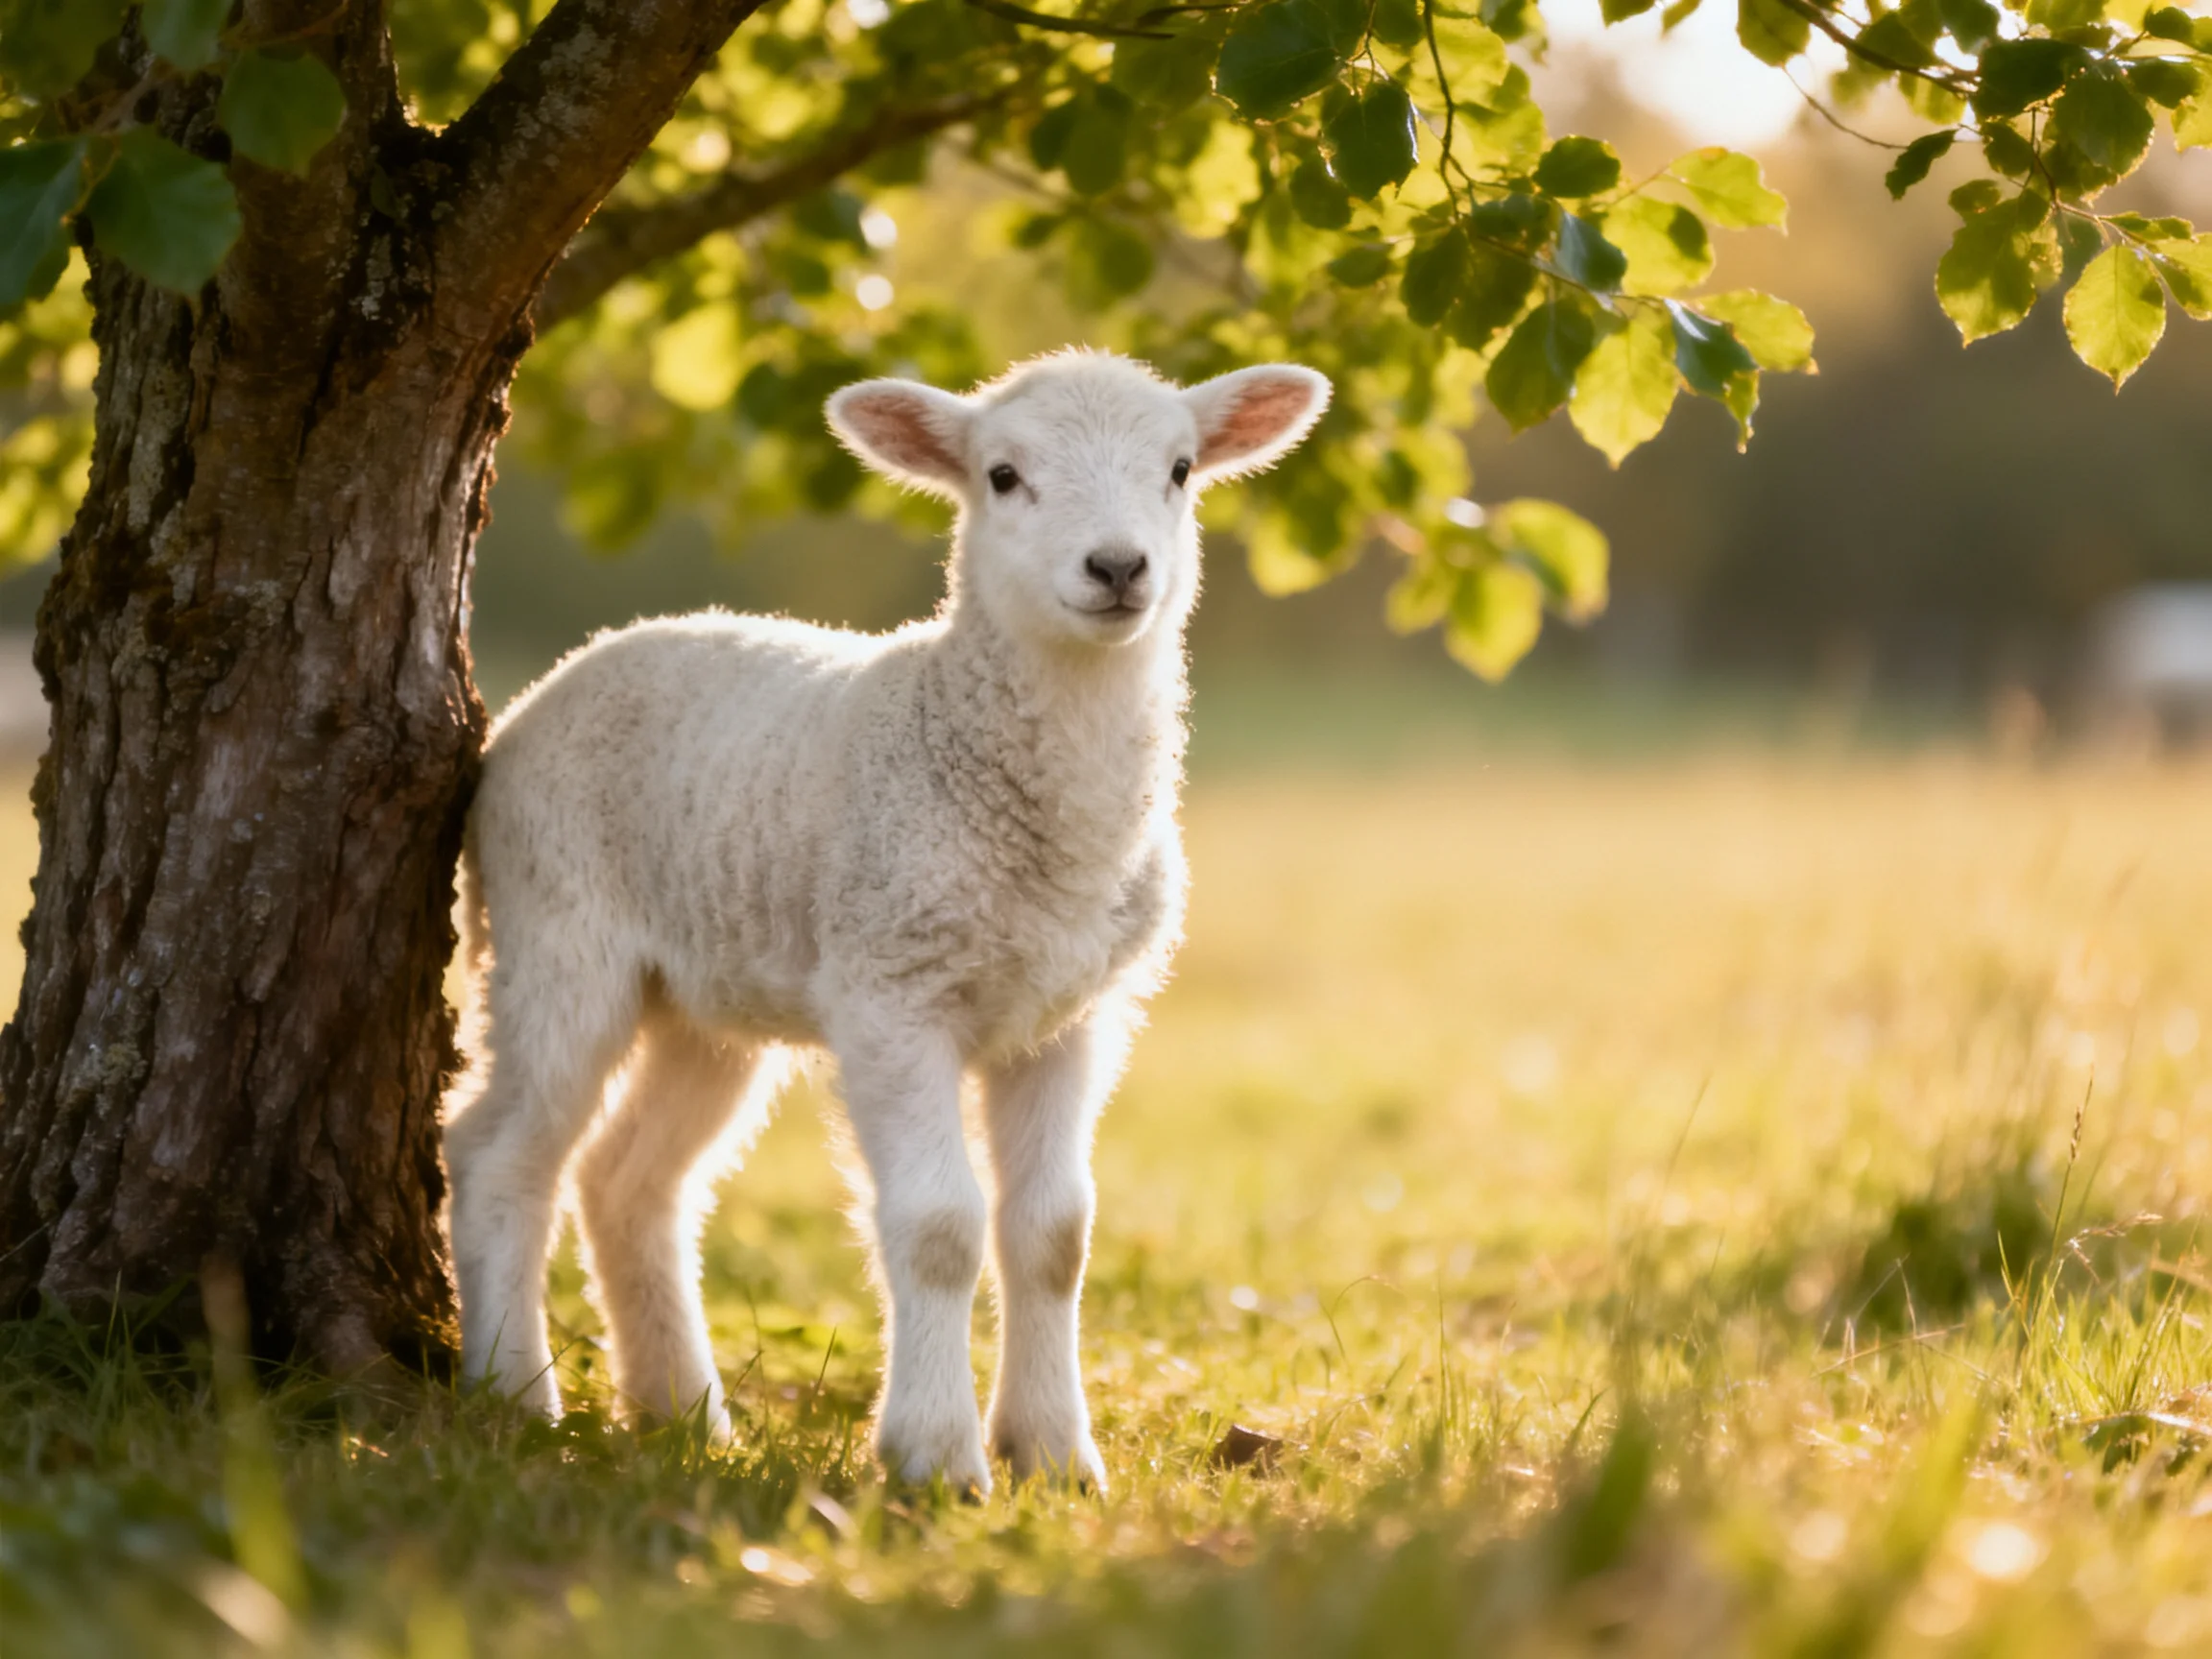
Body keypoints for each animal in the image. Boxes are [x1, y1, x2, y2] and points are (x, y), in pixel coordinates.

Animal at [442, 349, 1329, 1493]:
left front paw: (1056, 1457)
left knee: (629, 1180)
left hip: (704, 995)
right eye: (1003, 475)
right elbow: (943, 1225)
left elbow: (1056, 1233)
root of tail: (566, 673)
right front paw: (937, 1459)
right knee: (502, 1153)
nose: (1118, 567)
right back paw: (514, 1398)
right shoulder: (893, 994)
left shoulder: (1074, 1015)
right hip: (553, 929)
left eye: (1180, 469)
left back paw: (684, 1415)